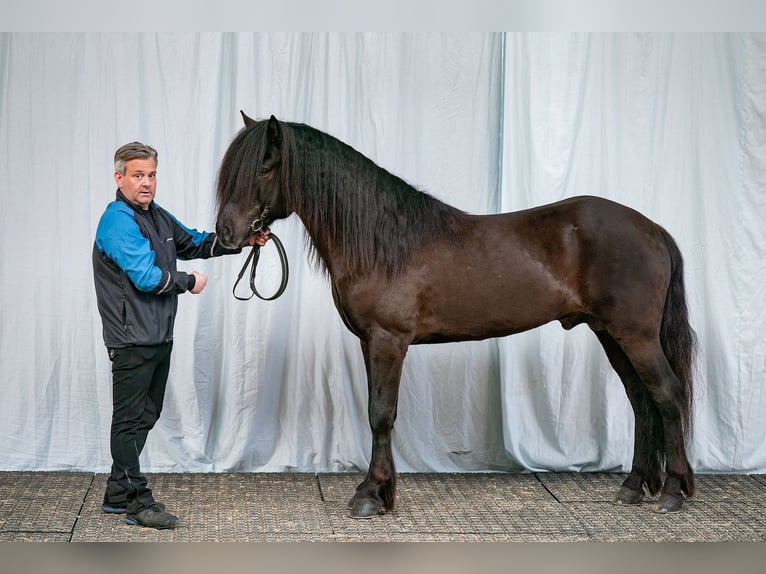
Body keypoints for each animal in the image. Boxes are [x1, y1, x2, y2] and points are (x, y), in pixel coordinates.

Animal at [213, 115, 700, 520]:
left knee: (667, 394)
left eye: (263, 168)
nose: (225, 234)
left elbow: (381, 414)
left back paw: (674, 491)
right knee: (641, 399)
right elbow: (377, 412)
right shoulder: (370, 341)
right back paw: (633, 486)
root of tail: (654, 230)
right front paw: (379, 491)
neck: (382, 241)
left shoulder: (389, 340)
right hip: (611, 335)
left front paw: (371, 496)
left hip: (635, 335)